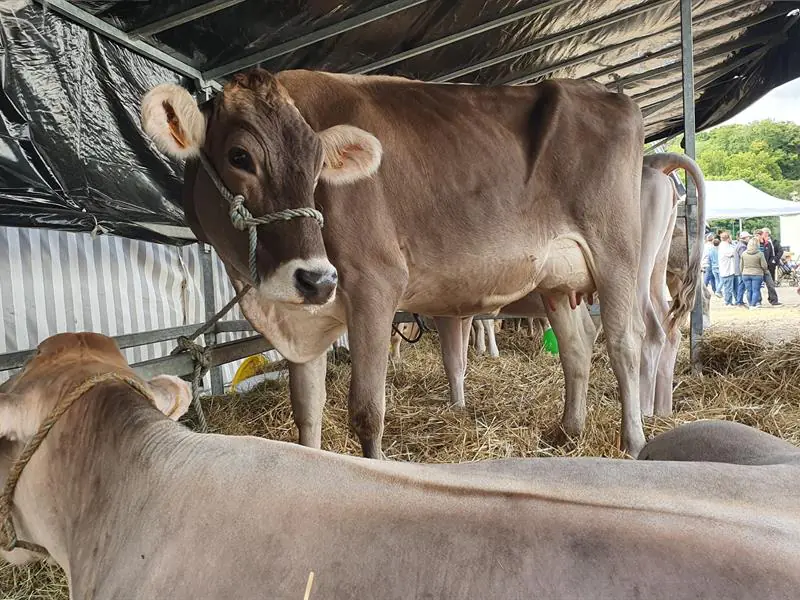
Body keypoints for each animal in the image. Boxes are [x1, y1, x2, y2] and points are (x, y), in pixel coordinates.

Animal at [142, 67, 656, 454]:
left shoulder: (375, 282)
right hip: (558, 281)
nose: (315, 279)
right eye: (239, 156)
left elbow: (367, 413)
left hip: (616, 251)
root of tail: (609, 94)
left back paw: (633, 443)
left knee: (625, 342)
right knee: (578, 345)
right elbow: (306, 411)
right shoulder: (304, 315)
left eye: (317, 165)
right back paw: (569, 431)